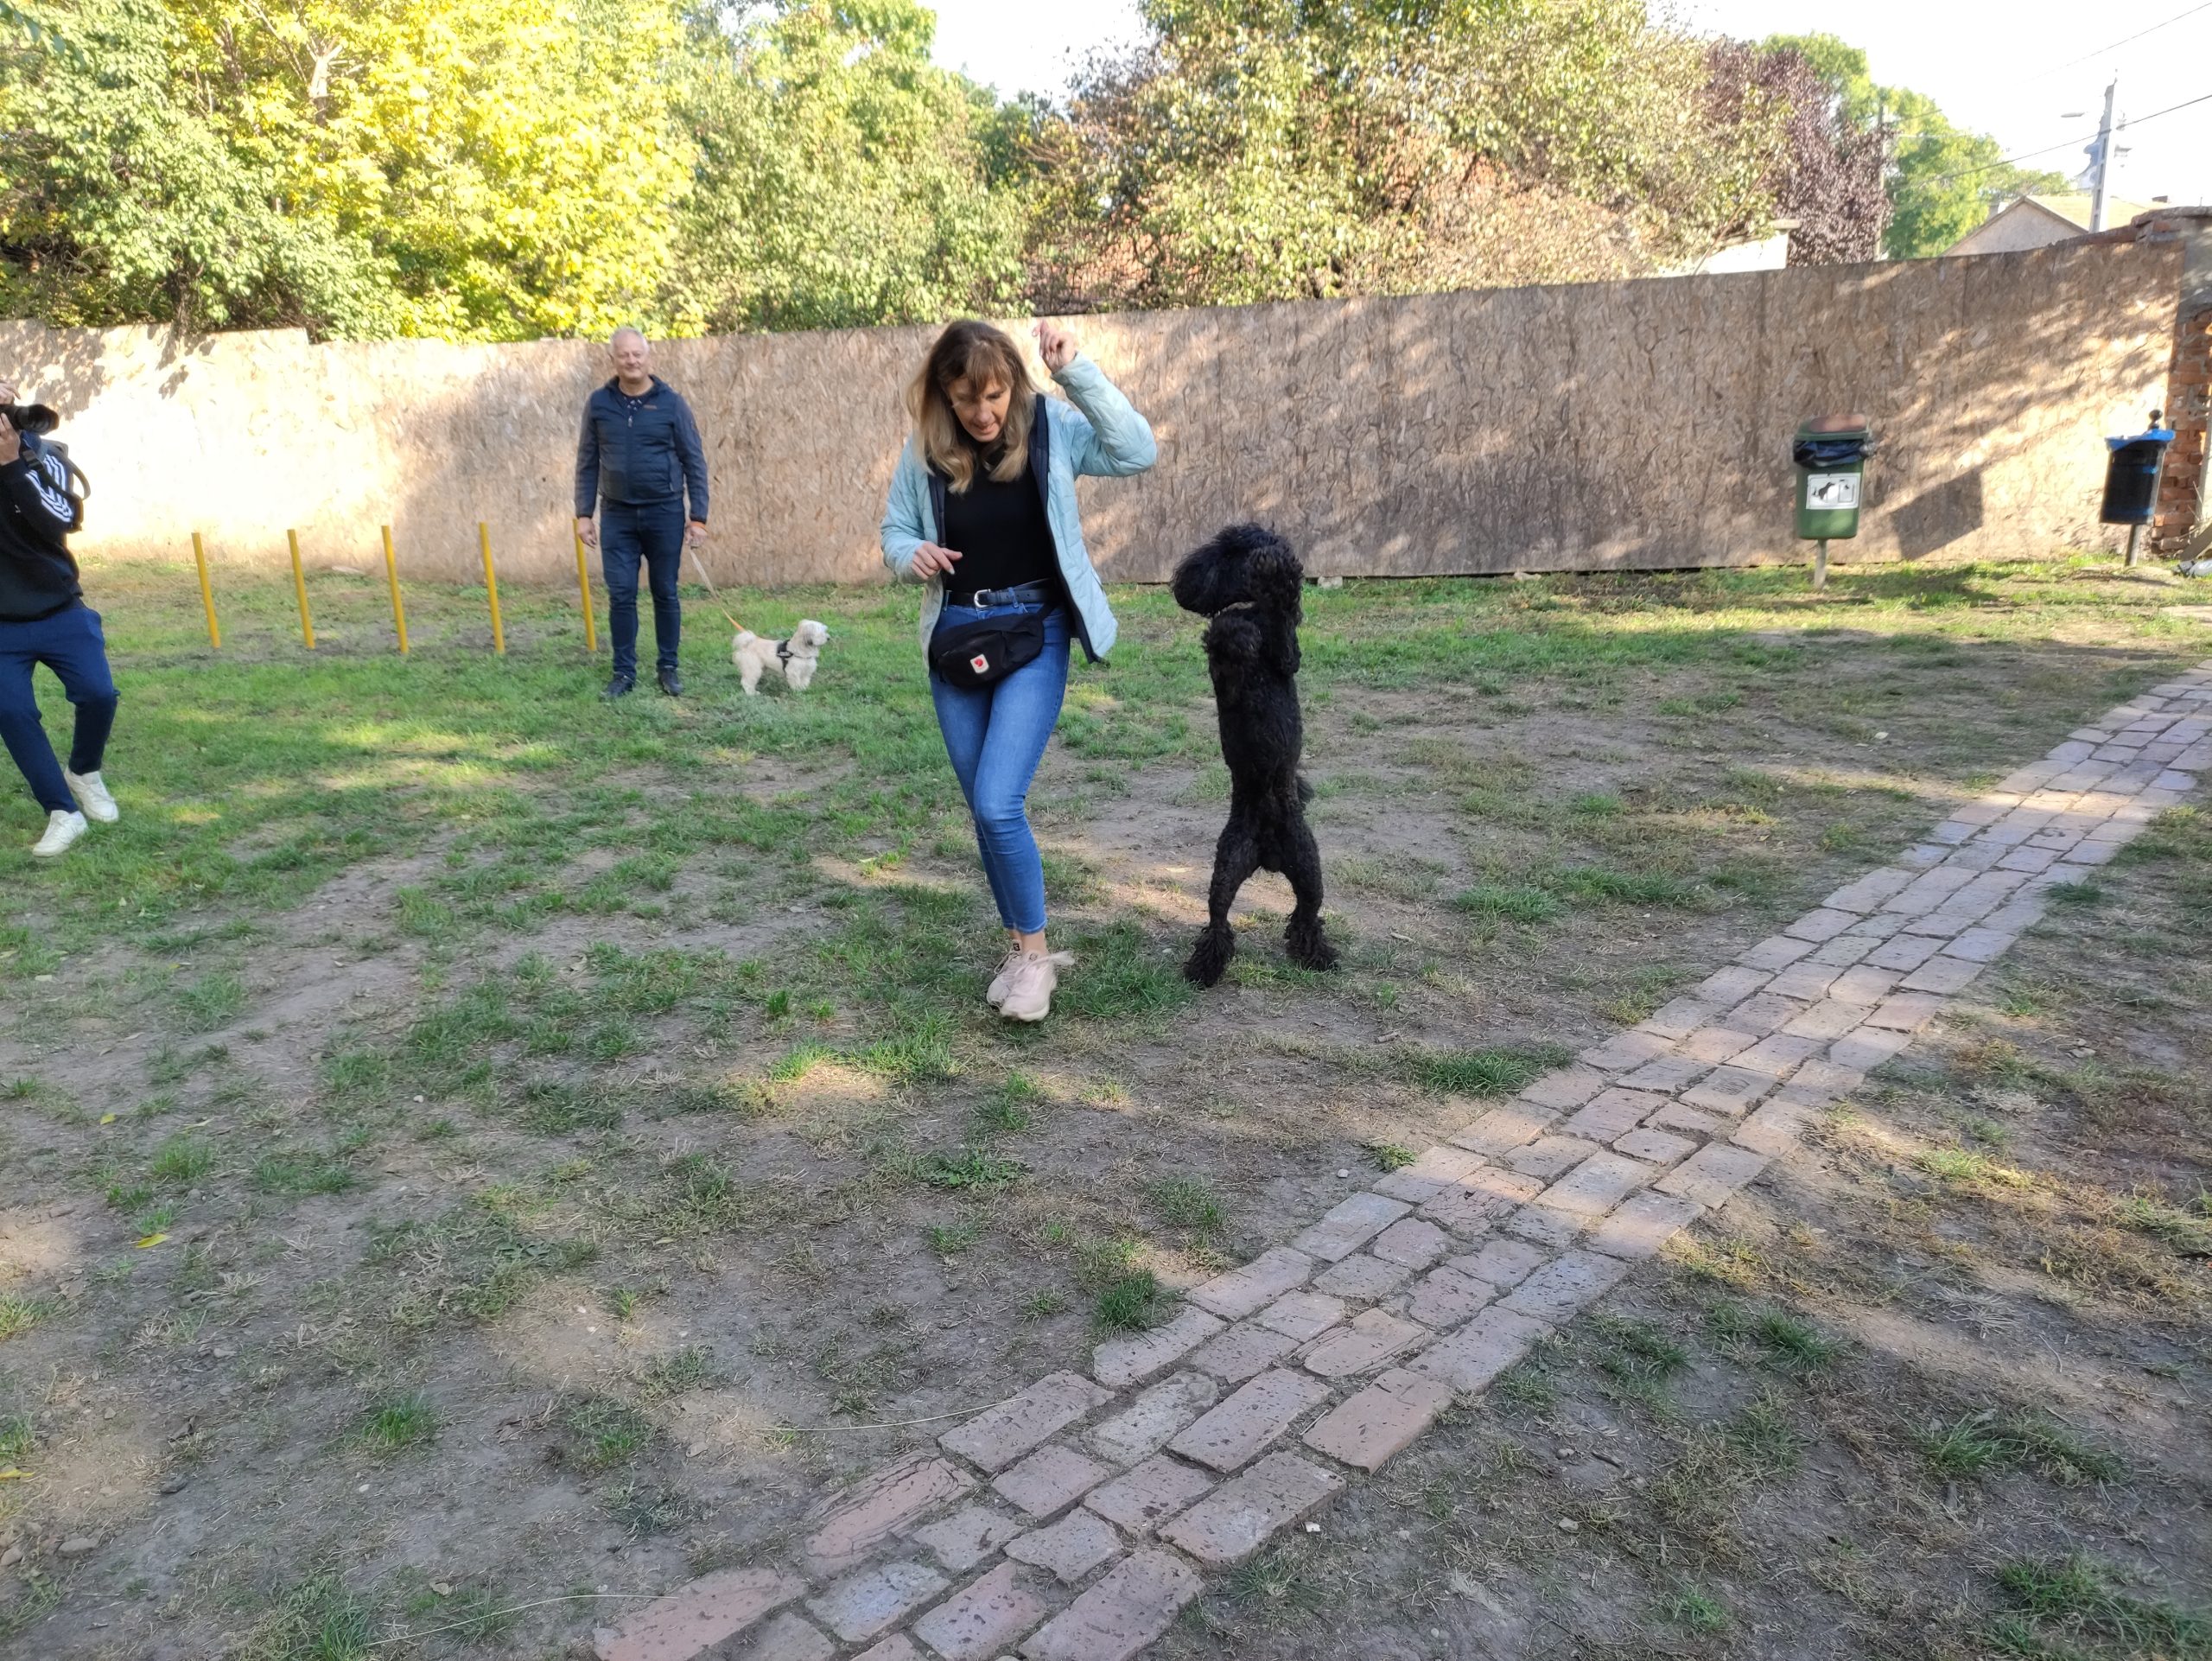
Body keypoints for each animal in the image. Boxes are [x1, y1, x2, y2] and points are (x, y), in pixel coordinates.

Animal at [1173, 523, 1337, 987]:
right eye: (1228, 549)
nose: (1264, 557)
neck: (1251, 610)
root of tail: (1267, 854)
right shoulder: (1224, 683)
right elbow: (1225, 639)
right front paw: (1235, 631)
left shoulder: (1287, 656)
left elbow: (1281, 627)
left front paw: (1279, 586)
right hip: (1226, 868)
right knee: (1218, 922)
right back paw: (1205, 968)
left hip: (1308, 868)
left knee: (1306, 915)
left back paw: (1316, 957)